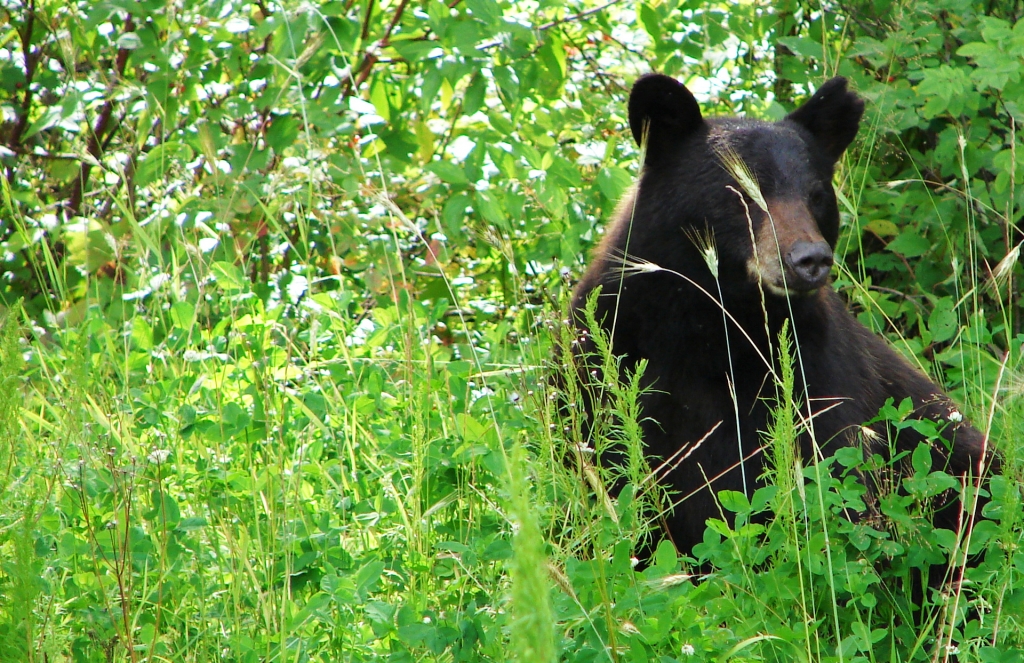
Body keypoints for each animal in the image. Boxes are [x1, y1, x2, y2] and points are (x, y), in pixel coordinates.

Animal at [573, 72, 1003, 561]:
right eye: (741, 192)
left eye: (816, 195)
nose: (809, 259)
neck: (716, 321)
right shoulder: (609, 354)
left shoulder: (816, 370)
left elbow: (838, 472)